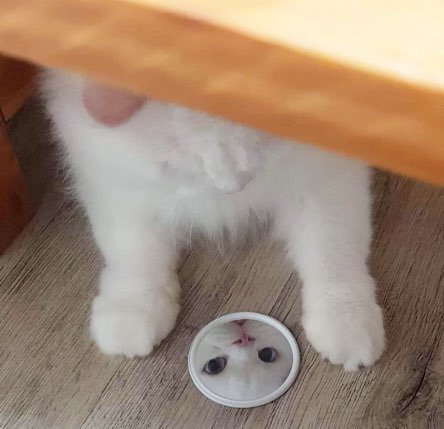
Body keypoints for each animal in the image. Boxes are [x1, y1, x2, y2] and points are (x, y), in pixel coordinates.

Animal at [41, 70, 385, 371]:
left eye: (263, 145)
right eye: (172, 163)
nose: (231, 187)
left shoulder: (326, 179)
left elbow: (333, 253)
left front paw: (347, 323)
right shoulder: (116, 181)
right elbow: (134, 254)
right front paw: (132, 312)